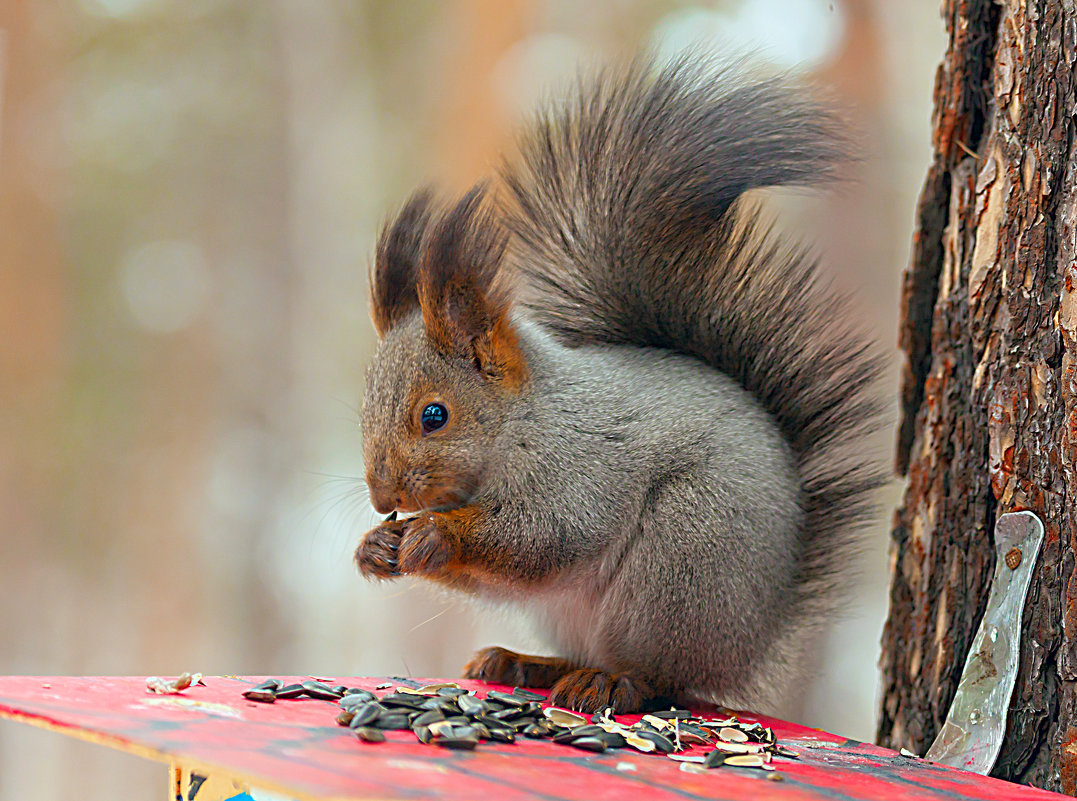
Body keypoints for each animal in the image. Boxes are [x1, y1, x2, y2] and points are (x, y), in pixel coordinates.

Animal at [353, 53, 883, 714]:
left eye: (434, 416)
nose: (383, 499)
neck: (523, 420)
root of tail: (755, 641)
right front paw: (373, 548)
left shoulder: (580, 470)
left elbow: (542, 537)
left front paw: (434, 534)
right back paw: (527, 663)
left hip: (682, 561)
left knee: (663, 676)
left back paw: (614, 682)